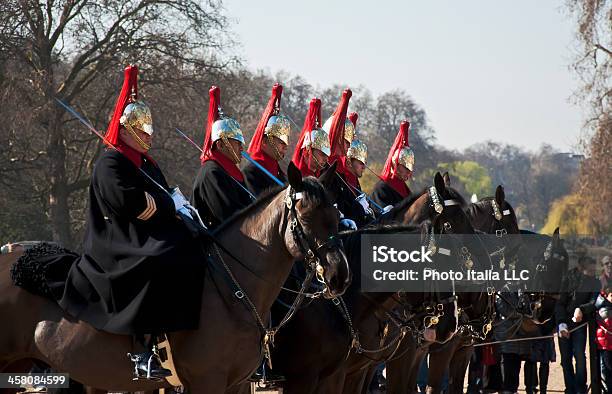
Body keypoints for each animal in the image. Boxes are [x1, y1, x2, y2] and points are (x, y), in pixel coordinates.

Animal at [0, 162, 350, 392]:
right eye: (306, 216)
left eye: (335, 215)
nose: (339, 275)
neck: (232, 290)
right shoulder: (208, 380)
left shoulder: (237, 384)